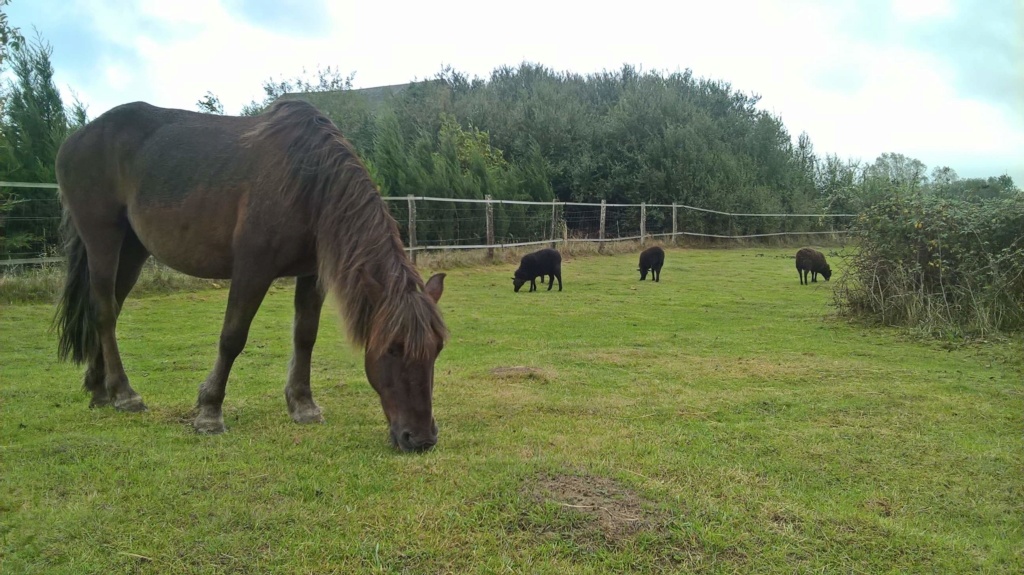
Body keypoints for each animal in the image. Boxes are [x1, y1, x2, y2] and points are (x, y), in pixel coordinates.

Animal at [54, 99, 448, 452]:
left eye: (438, 348)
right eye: (393, 348)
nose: (420, 438)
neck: (306, 180)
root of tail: (76, 139)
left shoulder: (312, 274)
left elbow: (305, 336)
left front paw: (303, 405)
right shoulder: (252, 268)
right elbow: (232, 337)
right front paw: (209, 411)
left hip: (133, 248)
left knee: (110, 307)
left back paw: (99, 387)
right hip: (102, 238)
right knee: (104, 311)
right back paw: (124, 393)